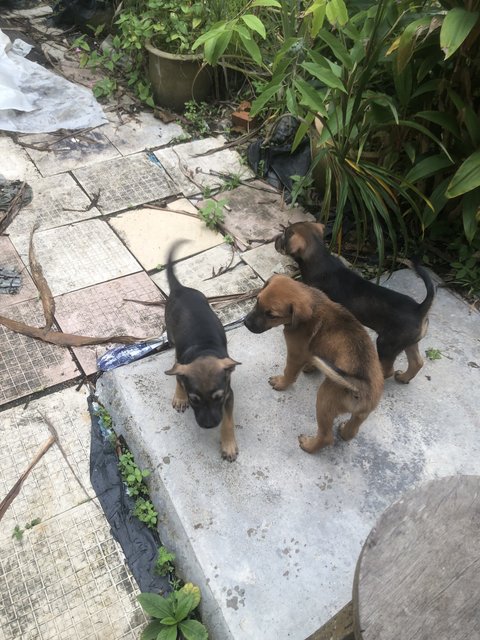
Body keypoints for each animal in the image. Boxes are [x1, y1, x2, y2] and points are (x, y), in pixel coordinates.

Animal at [165, 244, 240, 460]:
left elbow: (228, 420)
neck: (203, 351)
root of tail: (180, 289)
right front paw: (180, 397)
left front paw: (228, 444)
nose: (208, 426)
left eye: (218, 398)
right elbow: (178, 376)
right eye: (194, 400)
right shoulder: (182, 365)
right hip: (171, 336)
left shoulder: (229, 394)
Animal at [244, 278, 382, 452]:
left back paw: (308, 445)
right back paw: (344, 431)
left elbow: (289, 372)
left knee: (326, 437)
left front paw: (281, 383)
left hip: (325, 399)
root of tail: (361, 385)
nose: (245, 323)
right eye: (257, 300)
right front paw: (310, 367)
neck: (314, 304)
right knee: (352, 431)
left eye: (271, 315)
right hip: (362, 413)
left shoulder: (295, 353)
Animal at [274, 222, 436, 384]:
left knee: (388, 370)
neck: (320, 258)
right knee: (417, 362)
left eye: (284, 235)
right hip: (408, 342)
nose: (275, 239)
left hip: (386, 344)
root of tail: (420, 308)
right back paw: (403, 378)